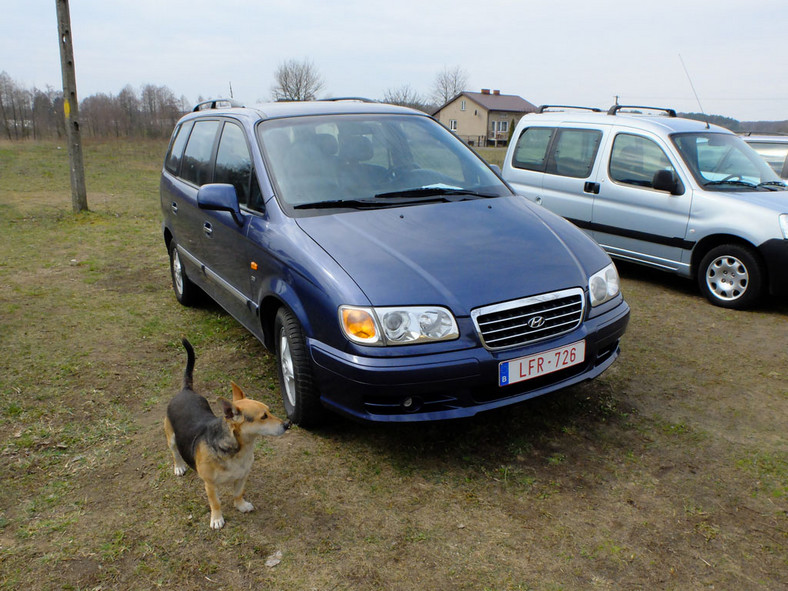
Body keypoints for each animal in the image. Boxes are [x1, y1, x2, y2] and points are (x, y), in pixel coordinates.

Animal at [165, 340, 290, 528]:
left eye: (269, 410)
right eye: (264, 417)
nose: (288, 424)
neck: (238, 450)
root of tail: (186, 390)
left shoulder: (242, 477)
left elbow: (238, 493)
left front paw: (241, 506)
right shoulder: (209, 484)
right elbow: (215, 502)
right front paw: (217, 519)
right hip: (171, 438)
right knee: (175, 453)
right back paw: (179, 466)